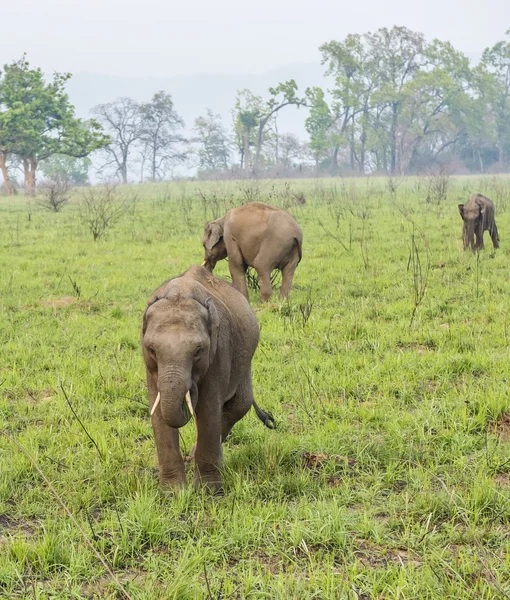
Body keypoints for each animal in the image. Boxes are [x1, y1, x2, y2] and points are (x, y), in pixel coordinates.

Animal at [139, 264, 274, 490]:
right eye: (151, 349)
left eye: (198, 351)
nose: (191, 387)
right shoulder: (151, 368)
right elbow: (157, 411)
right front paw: (173, 492)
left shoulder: (219, 351)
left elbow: (209, 409)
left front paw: (208, 491)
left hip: (245, 360)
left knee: (239, 405)